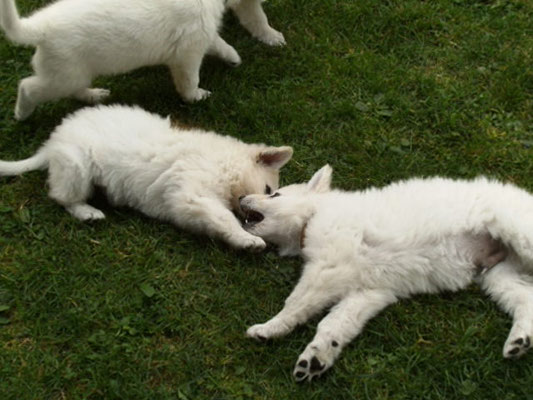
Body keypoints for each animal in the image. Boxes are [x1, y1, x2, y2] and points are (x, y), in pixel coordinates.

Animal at [0, 0, 285, 120]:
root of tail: (40, 27)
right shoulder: (187, 53)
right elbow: (189, 79)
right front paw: (195, 97)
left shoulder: (200, 34)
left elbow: (219, 42)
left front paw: (233, 56)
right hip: (63, 75)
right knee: (28, 86)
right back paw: (21, 113)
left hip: (73, 72)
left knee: (75, 89)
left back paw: (94, 95)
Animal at [0, 104, 293, 250]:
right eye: (269, 190)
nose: (257, 218)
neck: (225, 165)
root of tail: (52, 143)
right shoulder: (192, 196)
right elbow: (224, 218)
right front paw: (247, 240)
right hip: (77, 167)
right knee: (62, 197)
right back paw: (88, 212)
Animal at [240, 165, 533, 380]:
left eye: (275, 195)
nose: (241, 197)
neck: (313, 216)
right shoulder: (370, 291)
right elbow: (336, 324)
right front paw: (316, 358)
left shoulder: (328, 268)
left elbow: (297, 303)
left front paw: (270, 328)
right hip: (499, 275)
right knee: (526, 300)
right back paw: (520, 341)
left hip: (518, 235)